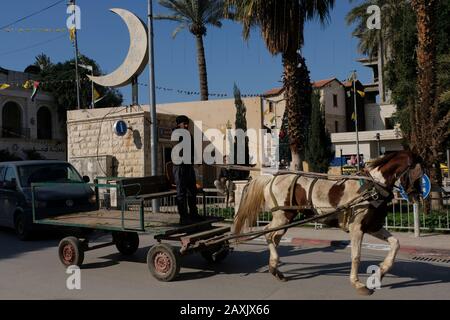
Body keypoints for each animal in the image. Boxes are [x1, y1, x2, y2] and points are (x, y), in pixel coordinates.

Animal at [234, 150, 424, 296]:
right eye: (418, 174)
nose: (417, 198)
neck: (372, 188)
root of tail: (271, 179)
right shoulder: (357, 228)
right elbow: (356, 256)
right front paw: (358, 283)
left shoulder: (373, 226)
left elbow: (395, 243)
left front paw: (380, 273)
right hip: (282, 217)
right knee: (267, 233)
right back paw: (274, 264)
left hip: (286, 219)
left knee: (274, 237)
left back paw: (275, 268)